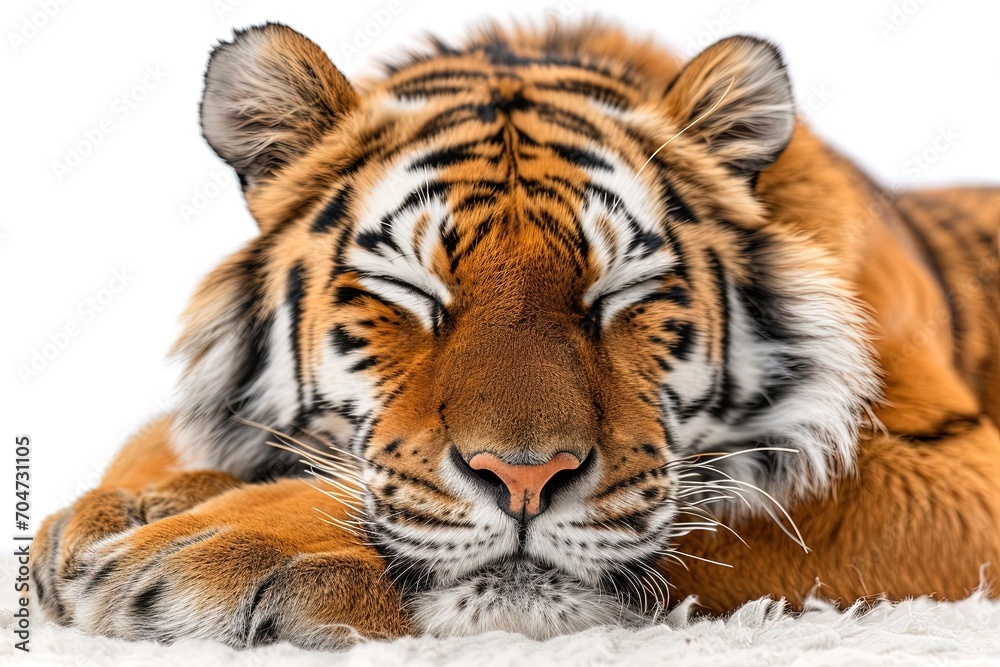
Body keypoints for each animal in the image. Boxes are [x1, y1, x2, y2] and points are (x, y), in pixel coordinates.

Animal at [33, 20, 1000, 649]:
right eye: (411, 291)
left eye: (619, 293)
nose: (525, 478)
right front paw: (125, 504)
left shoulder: (959, 467)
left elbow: (734, 509)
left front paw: (217, 544)